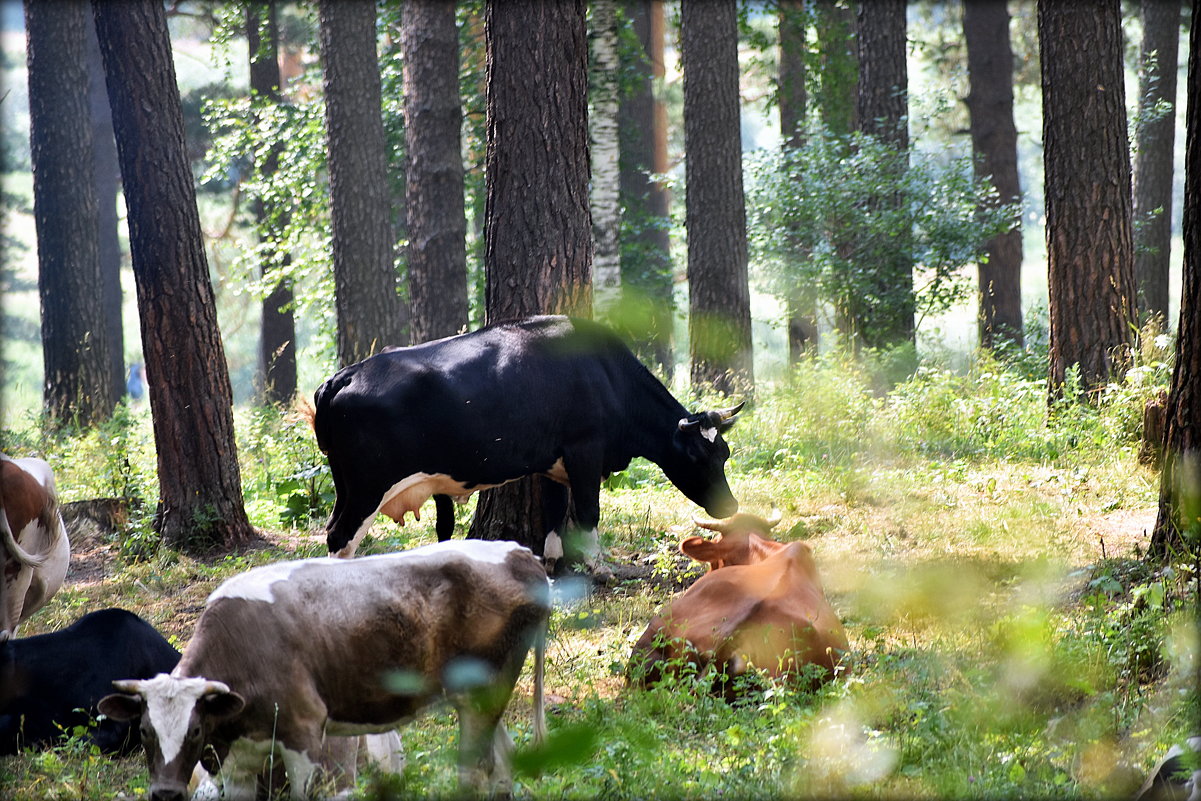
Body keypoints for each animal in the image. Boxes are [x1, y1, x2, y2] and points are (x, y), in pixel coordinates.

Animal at [100, 538, 550, 801]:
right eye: (144, 731)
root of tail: (520, 552)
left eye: (194, 730)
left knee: (475, 770)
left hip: (485, 693)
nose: (165, 794)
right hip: (480, 696)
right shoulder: (240, 762)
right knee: (503, 761)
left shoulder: (305, 733)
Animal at [309, 312, 739, 564]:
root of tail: (346, 374)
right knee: (341, 536)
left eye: (726, 453)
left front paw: (552, 569)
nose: (731, 506)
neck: (604, 374)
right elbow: (588, 514)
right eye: (698, 456)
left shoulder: (553, 464)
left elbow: (554, 517)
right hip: (368, 486)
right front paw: (595, 569)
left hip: (346, 485)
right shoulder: (585, 450)